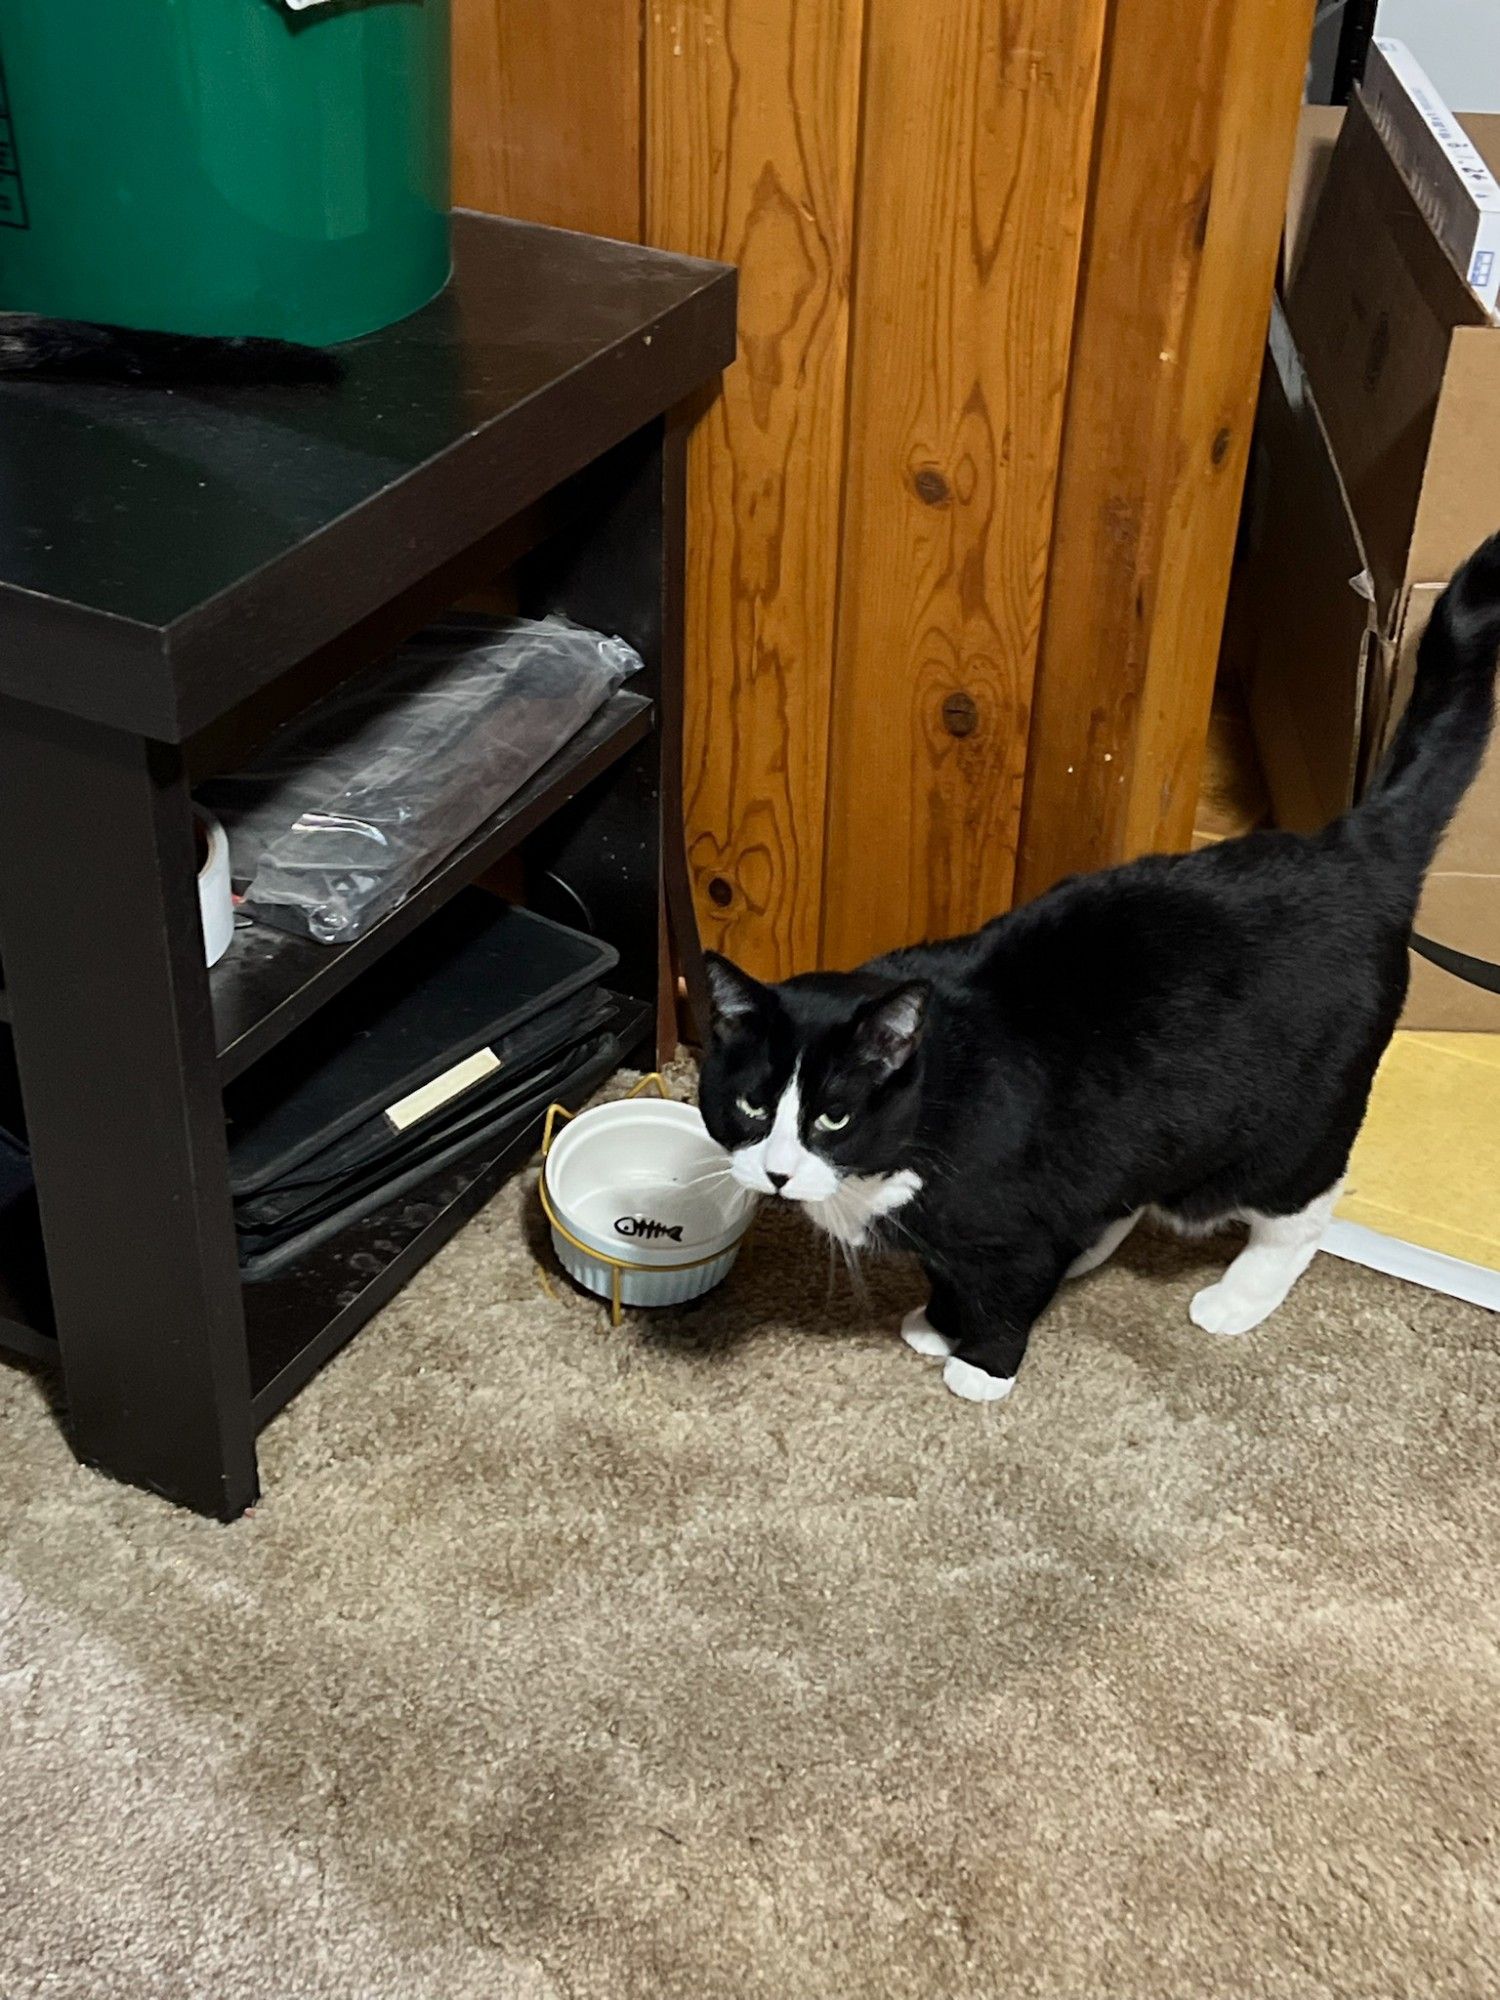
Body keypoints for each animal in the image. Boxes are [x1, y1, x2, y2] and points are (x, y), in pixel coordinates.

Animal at [704, 532, 1500, 1408]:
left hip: (1285, 1127)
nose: (777, 1174)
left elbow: (1002, 1289)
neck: (927, 1110)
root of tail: (1356, 848)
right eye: (749, 1105)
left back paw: (1238, 1297)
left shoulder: (1003, 1220)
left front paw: (980, 1364)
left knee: (1301, 1208)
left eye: (833, 1118)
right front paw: (937, 1323)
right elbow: (956, 1273)